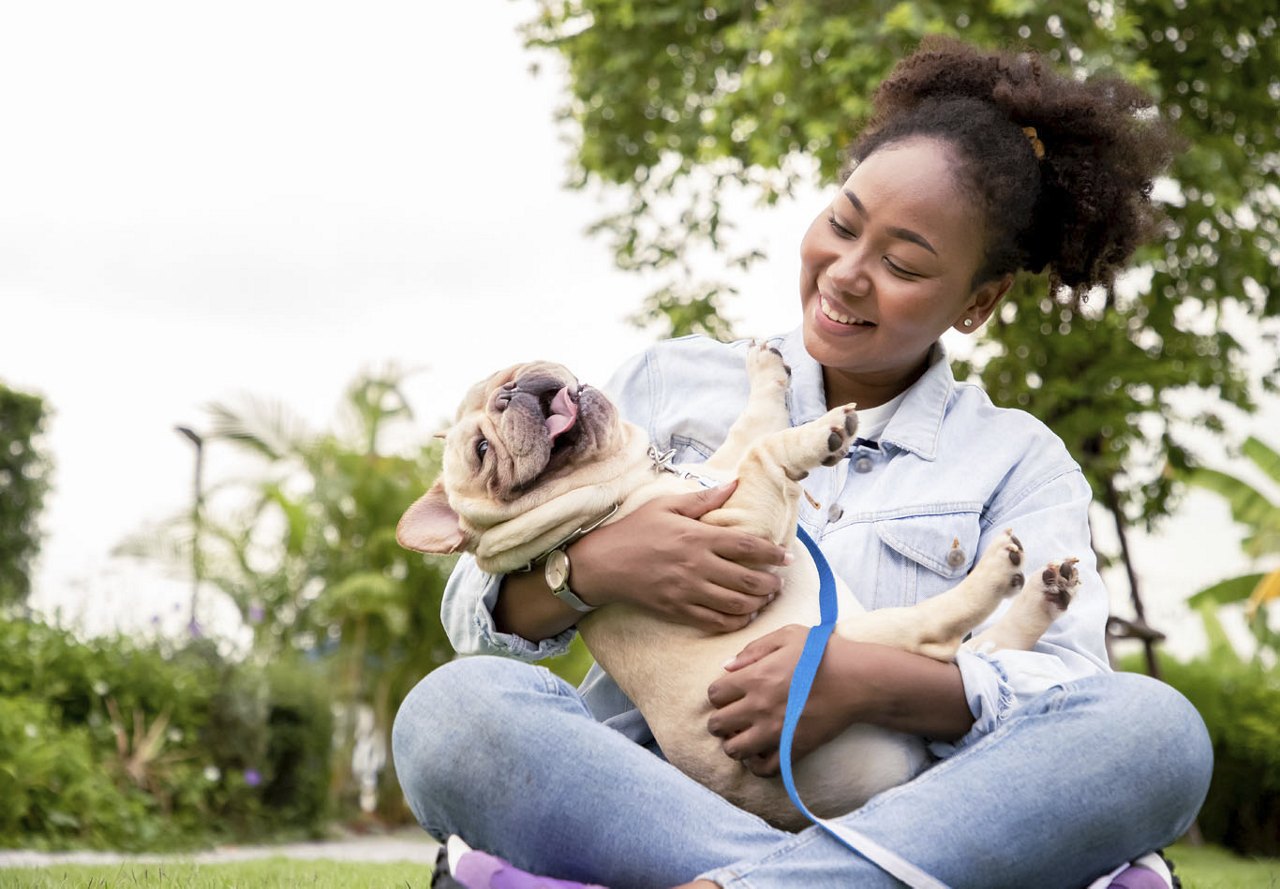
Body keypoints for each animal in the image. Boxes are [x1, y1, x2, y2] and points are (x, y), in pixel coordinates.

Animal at [394, 345, 1075, 828]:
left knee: (986, 655)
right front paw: (818, 434)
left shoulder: (721, 474)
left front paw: (768, 367)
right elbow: (764, 451)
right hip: (851, 639)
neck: (619, 490)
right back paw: (1001, 575)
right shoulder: (738, 527)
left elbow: (753, 426)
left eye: (501, 380)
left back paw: (1046, 590)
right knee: (941, 638)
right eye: (482, 453)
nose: (509, 394)